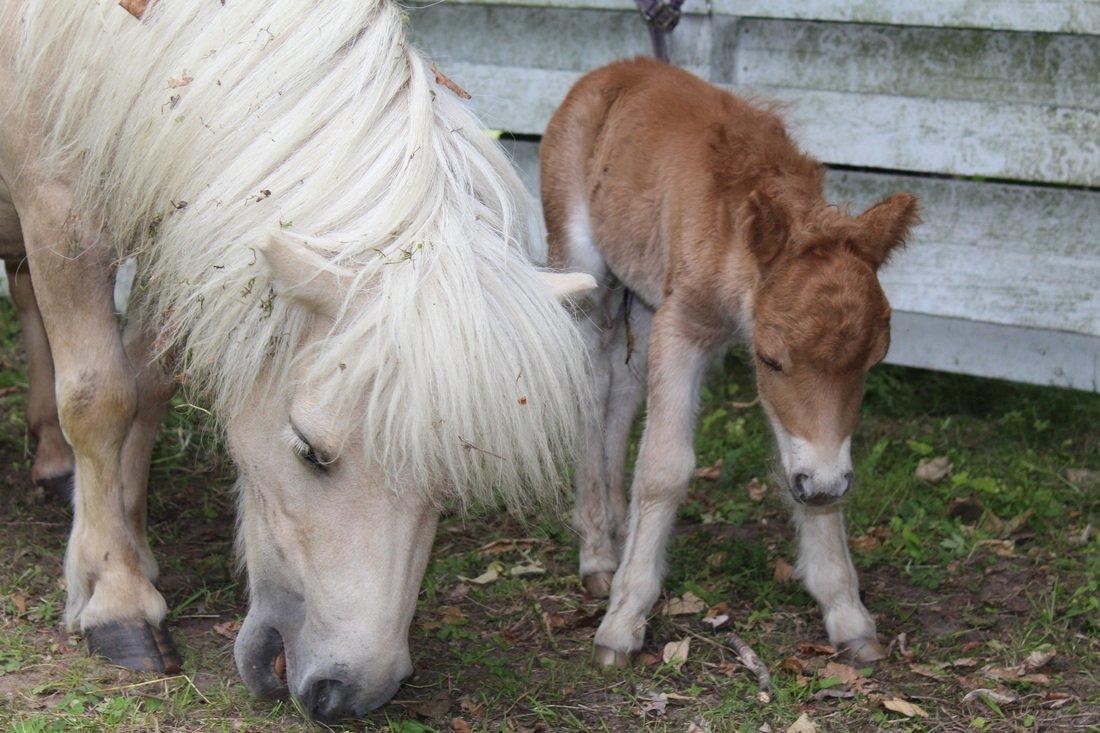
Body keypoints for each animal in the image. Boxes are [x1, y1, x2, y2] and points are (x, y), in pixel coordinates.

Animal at [0, 0, 594, 717]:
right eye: (310, 451)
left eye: (445, 484)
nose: (348, 693)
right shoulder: (59, 210)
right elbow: (99, 397)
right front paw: (117, 598)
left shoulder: (171, 218)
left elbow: (148, 386)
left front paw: (131, 545)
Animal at [543, 58, 919, 660]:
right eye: (770, 360)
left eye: (872, 363)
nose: (827, 486)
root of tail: (614, 68)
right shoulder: (683, 326)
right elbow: (665, 468)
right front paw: (623, 621)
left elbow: (802, 459)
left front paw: (846, 612)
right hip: (581, 266)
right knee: (585, 383)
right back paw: (598, 553)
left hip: (643, 293)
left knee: (620, 388)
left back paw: (618, 534)